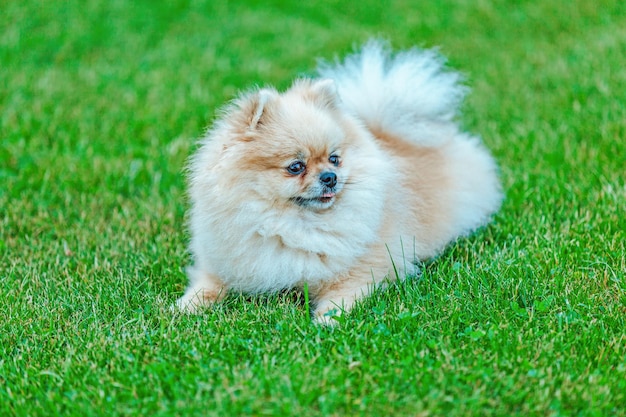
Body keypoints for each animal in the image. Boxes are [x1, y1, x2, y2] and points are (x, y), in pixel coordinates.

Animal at [173, 39, 500, 324]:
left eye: (334, 159)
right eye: (296, 167)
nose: (330, 177)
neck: (289, 226)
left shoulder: (366, 270)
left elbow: (341, 295)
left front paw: (327, 321)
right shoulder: (224, 262)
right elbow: (208, 284)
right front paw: (185, 307)